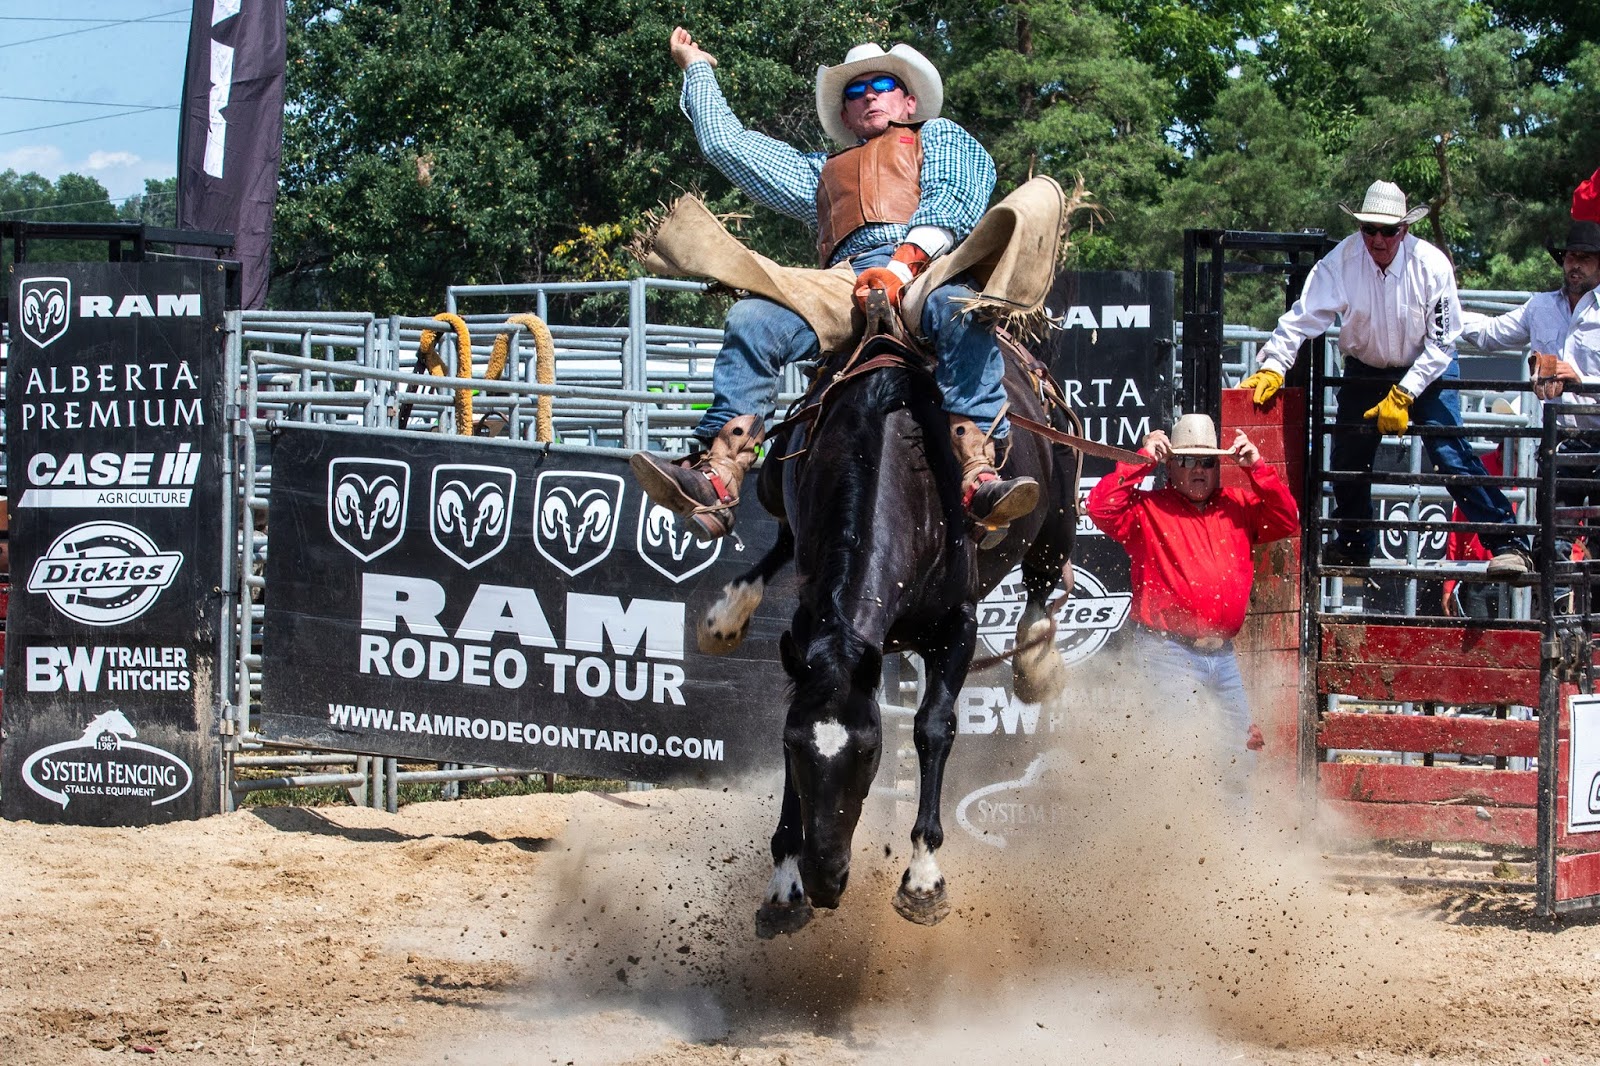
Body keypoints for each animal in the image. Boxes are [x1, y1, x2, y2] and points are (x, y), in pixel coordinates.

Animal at [697, 328, 1075, 934]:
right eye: (793, 747)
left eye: (872, 751)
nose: (825, 878)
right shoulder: (810, 624)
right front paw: (785, 883)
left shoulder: (957, 626)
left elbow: (933, 727)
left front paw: (922, 877)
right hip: (777, 490)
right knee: (781, 540)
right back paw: (729, 613)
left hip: (1057, 513)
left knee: (1041, 582)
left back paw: (1035, 662)